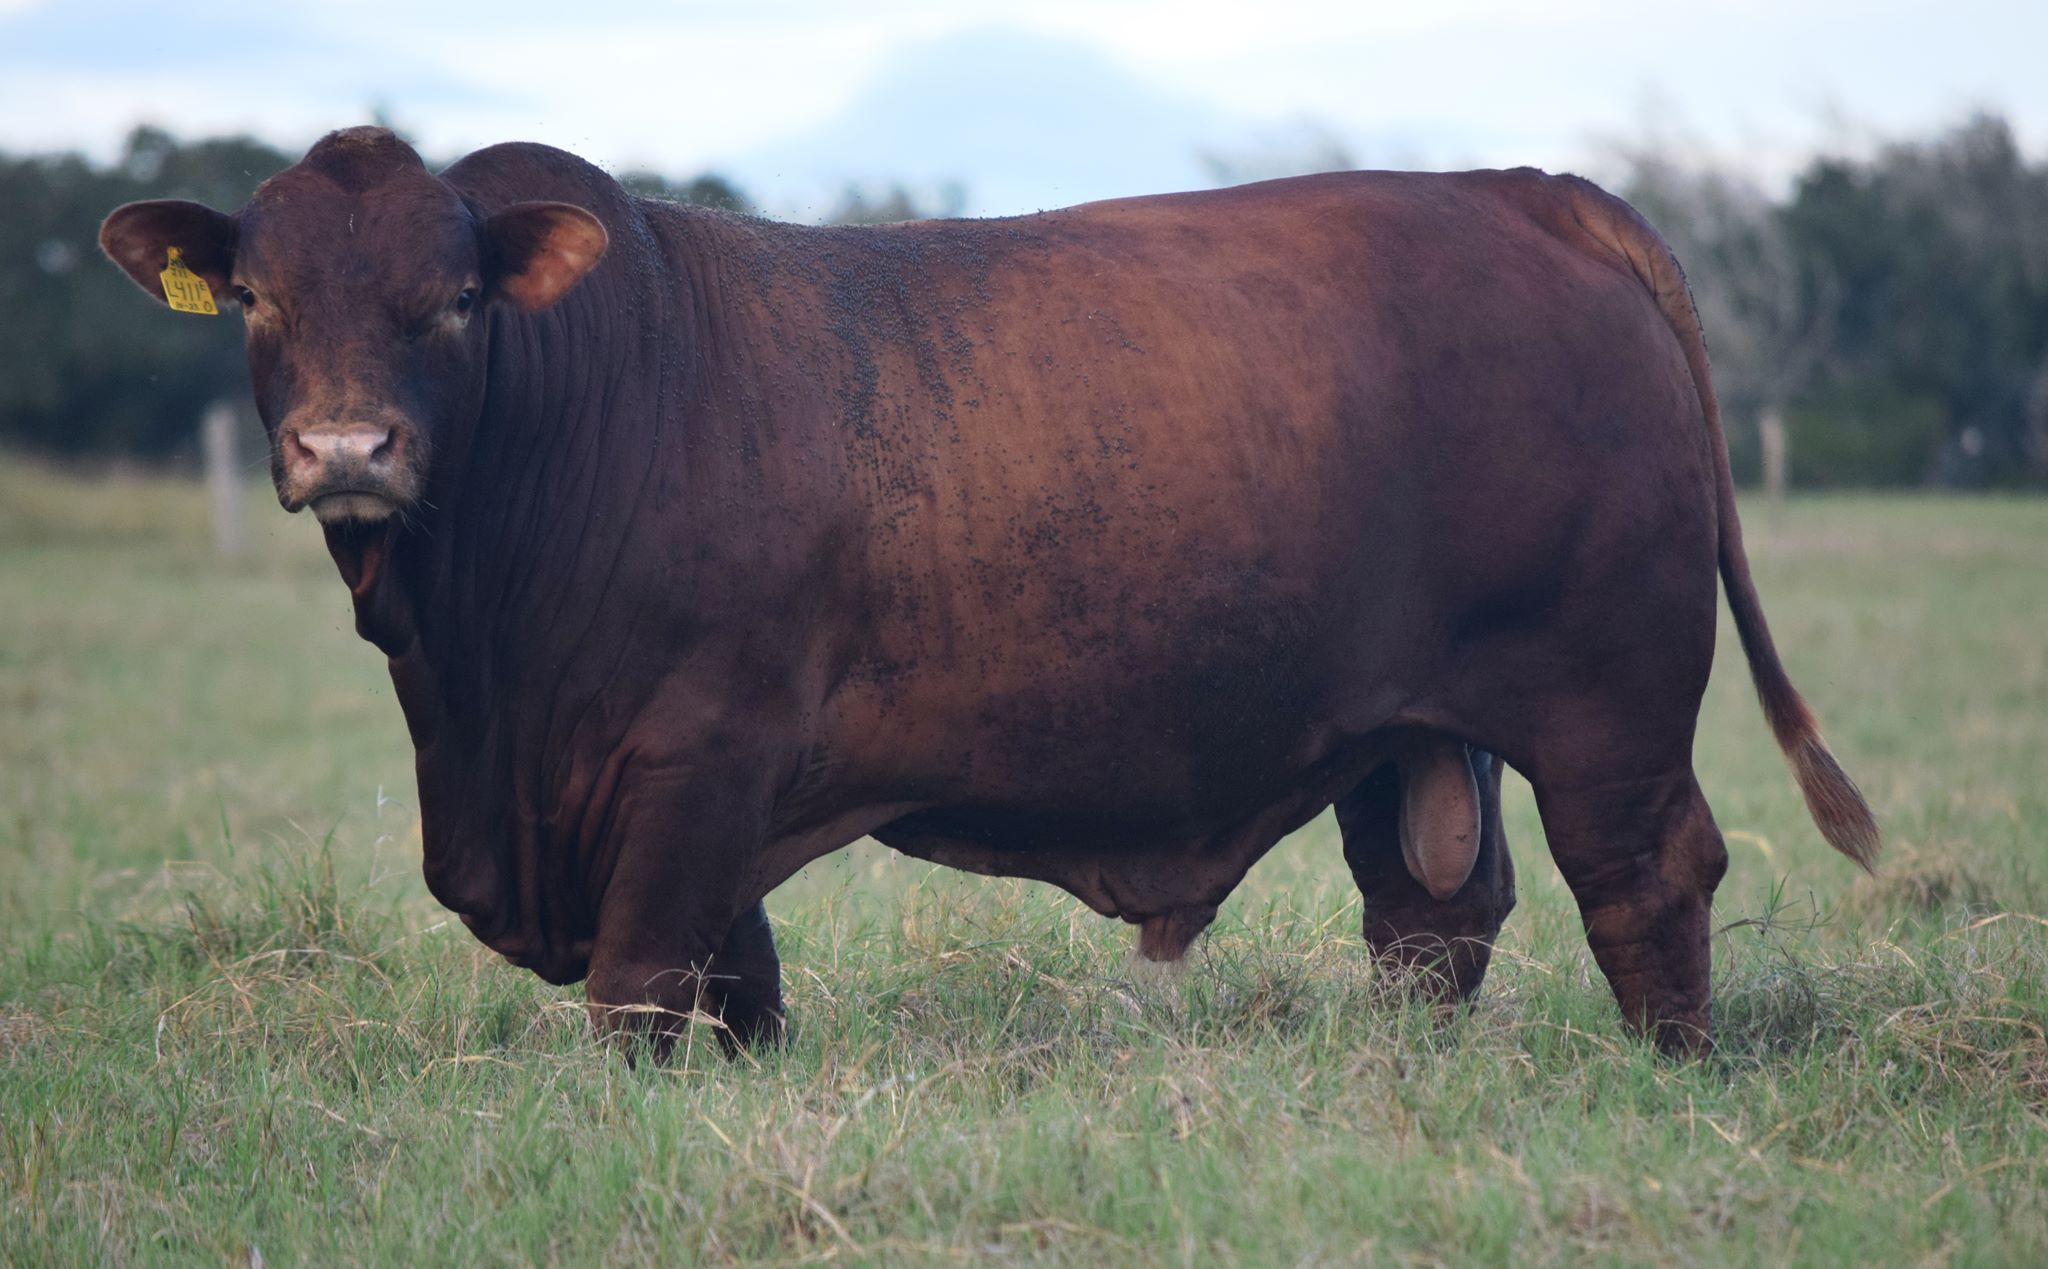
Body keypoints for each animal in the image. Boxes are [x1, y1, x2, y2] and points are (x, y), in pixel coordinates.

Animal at [101, 126, 1877, 1058]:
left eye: (458, 298)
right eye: (256, 298)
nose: (348, 445)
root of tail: (1523, 186)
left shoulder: (695, 765)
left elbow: (642, 987)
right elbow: (737, 990)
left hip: (1606, 697)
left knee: (1645, 875)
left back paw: (1665, 1069)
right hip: (1410, 728)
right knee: (1434, 912)